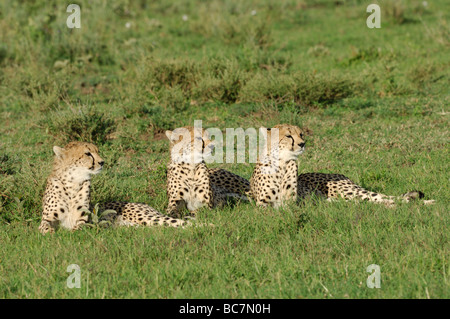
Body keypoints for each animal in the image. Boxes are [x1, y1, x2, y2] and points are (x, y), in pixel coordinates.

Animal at [38, 142, 190, 235]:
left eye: (97, 151)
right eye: (88, 154)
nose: (102, 162)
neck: (73, 183)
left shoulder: (83, 219)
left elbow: (79, 228)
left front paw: (72, 232)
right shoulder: (47, 218)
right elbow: (44, 226)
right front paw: (51, 233)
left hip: (147, 217)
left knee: (180, 222)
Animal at [248, 124, 434, 209]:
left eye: (301, 134)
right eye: (288, 136)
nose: (302, 144)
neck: (281, 164)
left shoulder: (292, 201)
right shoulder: (263, 204)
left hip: (349, 191)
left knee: (384, 198)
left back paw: (427, 202)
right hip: (342, 198)